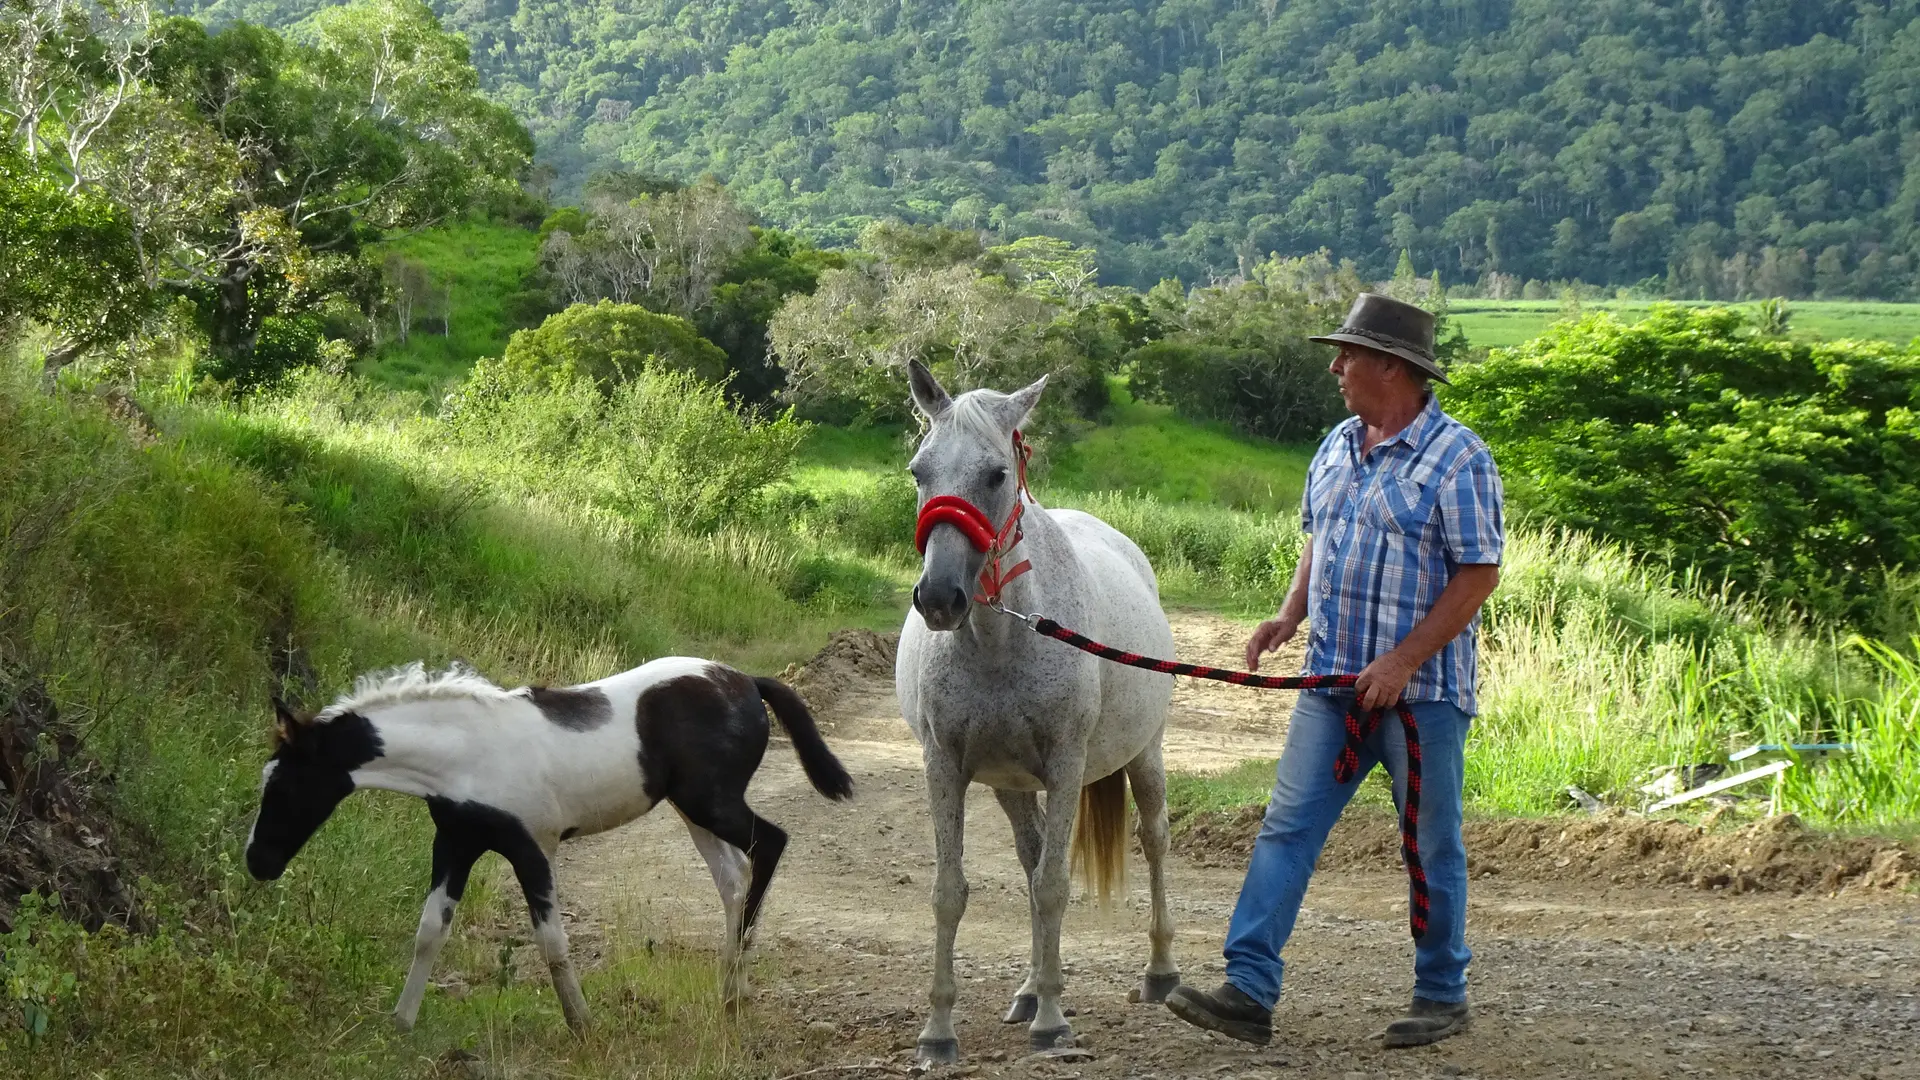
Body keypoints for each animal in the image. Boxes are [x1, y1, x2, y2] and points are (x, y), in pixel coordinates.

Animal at [238, 653, 848, 1030]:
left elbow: (552, 943)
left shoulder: (533, 849)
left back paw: (736, 983)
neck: (467, 753)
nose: (258, 862)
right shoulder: (454, 844)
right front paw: (401, 1022)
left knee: (769, 846)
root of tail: (745, 680)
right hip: (694, 810)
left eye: (284, 785)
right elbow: (429, 932)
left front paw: (582, 1024)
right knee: (732, 878)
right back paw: (729, 990)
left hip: (711, 803)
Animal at [890, 363, 1175, 1060]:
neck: (1001, 639)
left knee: (1153, 839)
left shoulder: (1067, 765)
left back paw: (1159, 972)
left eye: (996, 475)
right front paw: (938, 1031)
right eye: (918, 471)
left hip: (1145, 753)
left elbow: (1053, 886)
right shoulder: (946, 768)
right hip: (1012, 784)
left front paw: (1052, 1020)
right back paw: (1027, 988)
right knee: (1031, 856)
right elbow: (952, 891)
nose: (939, 598)